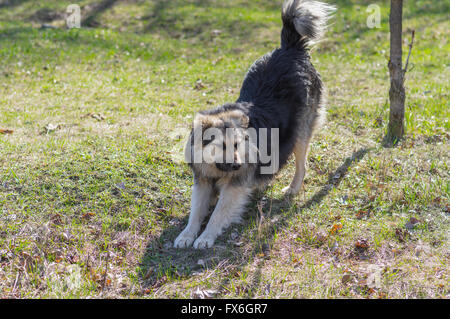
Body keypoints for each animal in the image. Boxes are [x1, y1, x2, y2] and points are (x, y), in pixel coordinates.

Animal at [174, 0, 336, 250]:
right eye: (222, 146)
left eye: (237, 145)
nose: (239, 165)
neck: (216, 168)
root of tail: (290, 48)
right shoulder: (202, 181)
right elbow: (196, 212)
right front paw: (187, 234)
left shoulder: (234, 186)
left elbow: (217, 213)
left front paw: (206, 237)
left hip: (300, 132)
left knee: (301, 164)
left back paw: (292, 188)